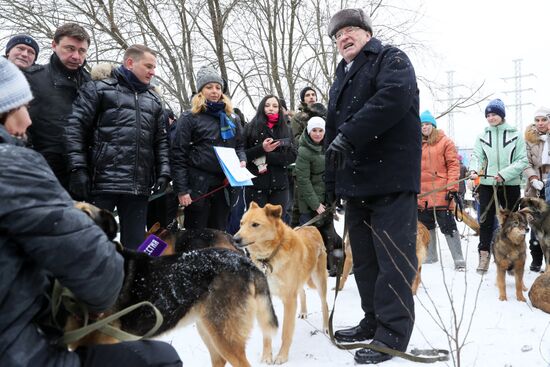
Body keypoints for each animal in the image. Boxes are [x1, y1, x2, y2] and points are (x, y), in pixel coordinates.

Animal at [235, 203, 330, 366]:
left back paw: (325, 327)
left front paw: (282, 356)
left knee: (325, 304)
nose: (235, 239)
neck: (268, 258)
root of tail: (312, 227)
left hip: (319, 279)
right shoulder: (263, 297)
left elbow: (286, 331)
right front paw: (267, 356)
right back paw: (303, 312)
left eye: (255, 225)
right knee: (302, 292)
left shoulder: (289, 300)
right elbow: (267, 330)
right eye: (241, 223)